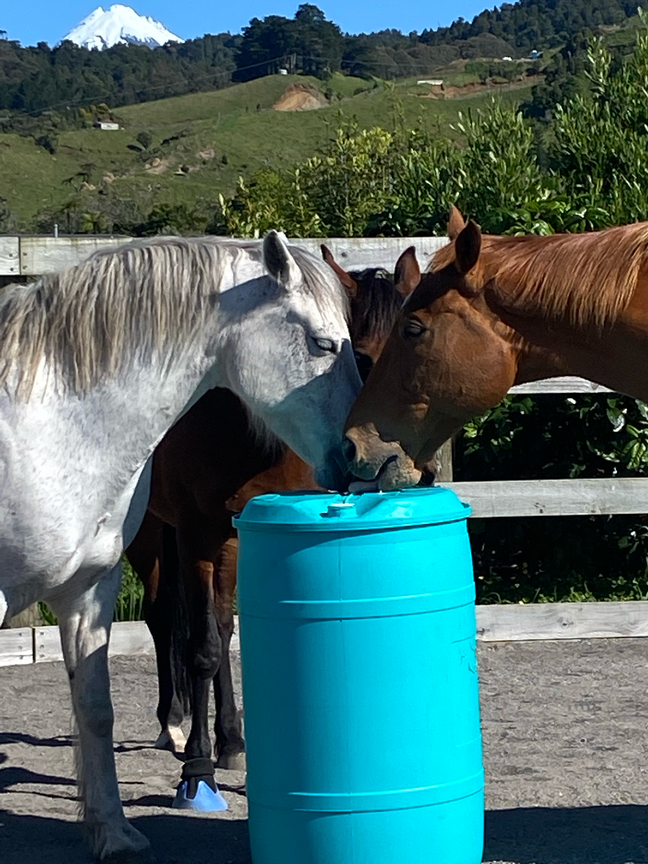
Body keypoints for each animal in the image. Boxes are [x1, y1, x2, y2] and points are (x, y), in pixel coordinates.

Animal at [0, 231, 361, 861]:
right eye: (323, 343)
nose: (365, 454)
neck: (48, 428)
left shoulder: (88, 593)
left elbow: (95, 711)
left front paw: (113, 832)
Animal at [125, 246, 418, 809]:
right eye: (360, 361)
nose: (391, 462)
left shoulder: (243, 532)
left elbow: (223, 634)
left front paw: (229, 745)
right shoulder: (198, 534)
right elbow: (201, 646)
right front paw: (197, 769)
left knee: (214, 625)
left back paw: (230, 738)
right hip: (150, 535)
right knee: (164, 618)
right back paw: (173, 724)